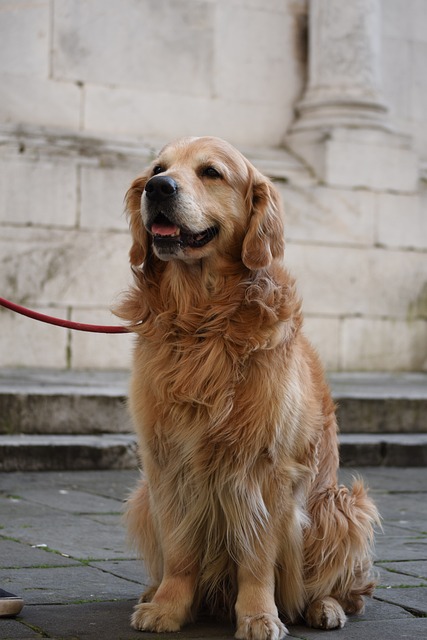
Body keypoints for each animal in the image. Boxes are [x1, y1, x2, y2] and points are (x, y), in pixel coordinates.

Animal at [117, 136, 382, 640]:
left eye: (211, 172)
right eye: (158, 169)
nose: (159, 189)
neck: (202, 321)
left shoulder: (264, 468)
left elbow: (257, 557)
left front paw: (259, 615)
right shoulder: (168, 462)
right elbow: (180, 551)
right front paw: (169, 607)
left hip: (341, 505)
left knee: (348, 590)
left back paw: (323, 607)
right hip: (142, 497)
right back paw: (153, 593)